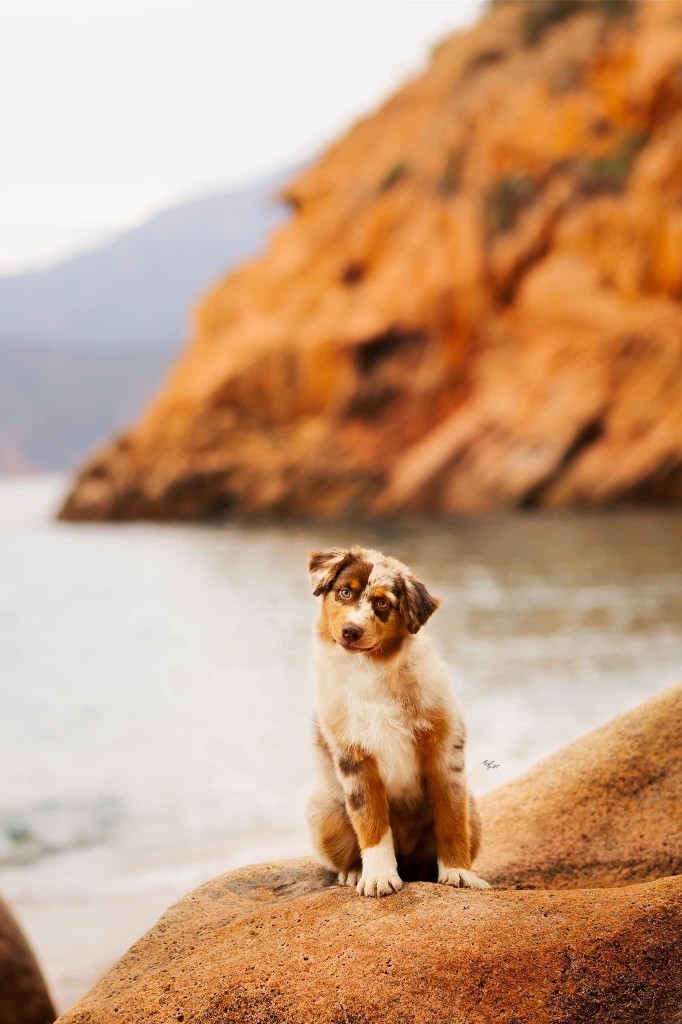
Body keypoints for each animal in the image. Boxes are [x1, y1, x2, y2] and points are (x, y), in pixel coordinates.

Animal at [303, 544, 489, 897]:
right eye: (344, 592)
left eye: (383, 604)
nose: (351, 631)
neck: (370, 670)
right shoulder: (354, 760)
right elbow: (371, 823)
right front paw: (377, 878)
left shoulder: (445, 752)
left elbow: (451, 820)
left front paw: (458, 873)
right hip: (324, 811)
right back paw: (354, 873)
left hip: (473, 807)